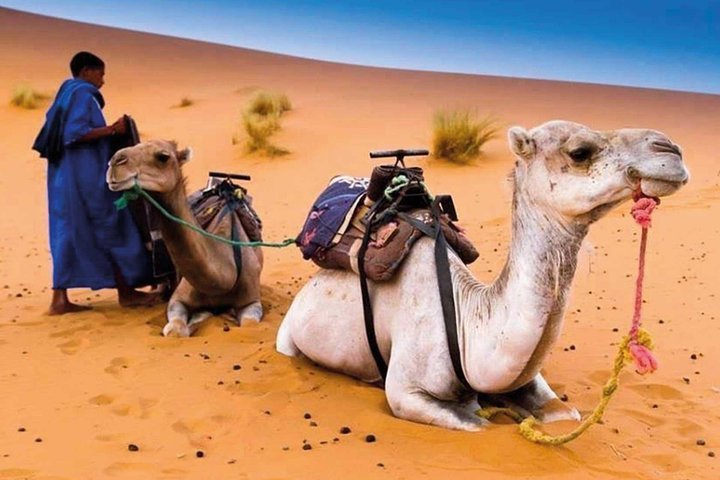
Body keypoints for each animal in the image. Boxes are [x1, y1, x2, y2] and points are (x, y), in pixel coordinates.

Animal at [106, 140, 264, 337]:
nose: (114, 162)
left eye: (163, 157)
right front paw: (198, 318)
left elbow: (249, 325)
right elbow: (175, 329)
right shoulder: (178, 299)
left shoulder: (252, 301)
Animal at [276, 120, 689, 431]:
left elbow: (564, 415)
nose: (670, 149)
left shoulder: (527, 377)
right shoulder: (406, 393)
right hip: (288, 336)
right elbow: (479, 422)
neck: (465, 320)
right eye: (579, 152)